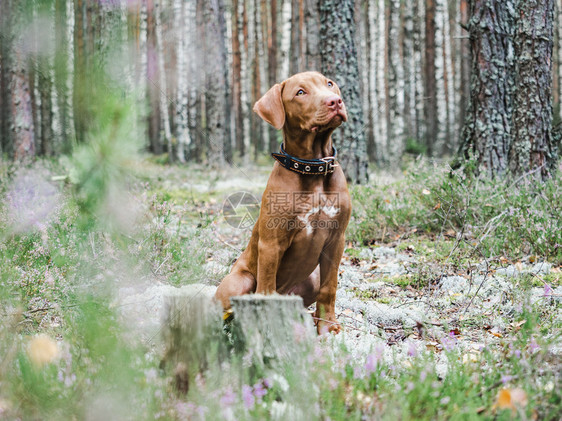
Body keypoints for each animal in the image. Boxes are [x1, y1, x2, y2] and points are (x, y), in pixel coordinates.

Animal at [214, 72, 350, 334]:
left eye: (329, 84)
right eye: (300, 92)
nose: (335, 101)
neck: (313, 169)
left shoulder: (336, 239)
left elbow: (330, 288)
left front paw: (328, 326)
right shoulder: (271, 244)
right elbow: (266, 288)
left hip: (310, 279)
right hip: (239, 280)